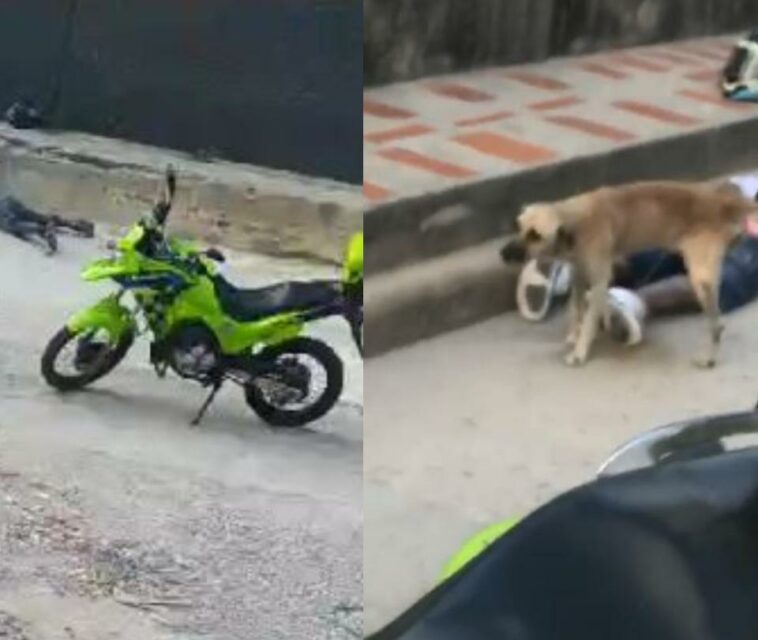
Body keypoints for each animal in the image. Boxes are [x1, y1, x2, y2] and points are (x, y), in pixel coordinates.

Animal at [502, 182, 756, 368]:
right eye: (518, 226)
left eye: (535, 235)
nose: (503, 253)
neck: (574, 219)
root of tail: (723, 201)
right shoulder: (580, 274)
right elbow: (576, 310)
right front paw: (575, 334)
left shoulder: (599, 280)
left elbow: (589, 320)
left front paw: (580, 351)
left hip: (701, 280)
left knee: (718, 325)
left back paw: (708, 357)